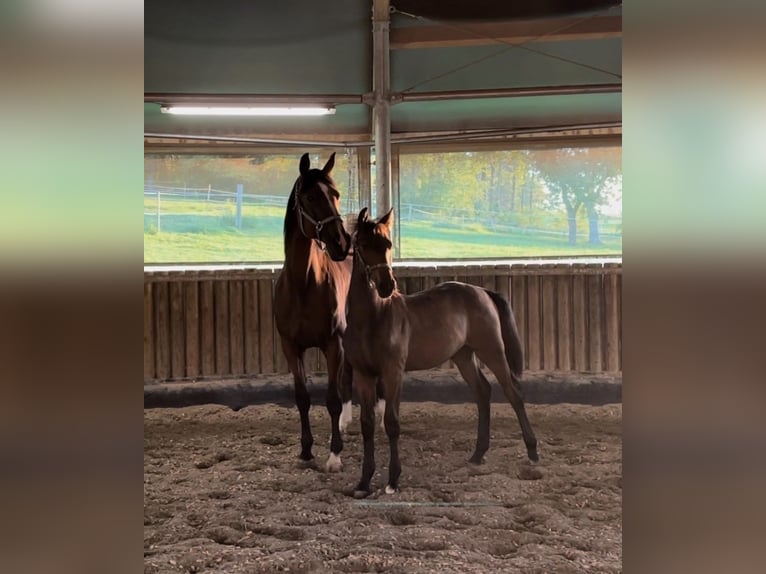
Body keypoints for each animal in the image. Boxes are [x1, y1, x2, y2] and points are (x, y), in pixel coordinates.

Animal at [274, 152, 356, 473]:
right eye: (309, 197)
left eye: (335, 194)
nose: (341, 243)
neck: (304, 284)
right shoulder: (291, 347)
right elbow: (302, 397)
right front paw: (306, 450)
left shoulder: (333, 343)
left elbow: (331, 398)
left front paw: (334, 455)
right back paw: (347, 421)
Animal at [344, 207, 539, 498]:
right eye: (365, 245)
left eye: (388, 244)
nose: (387, 286)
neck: (373, 318)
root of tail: (482, 291)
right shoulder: (363, 375)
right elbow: (367, 425)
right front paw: (363, 482)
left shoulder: (393, 372)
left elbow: (391, 422)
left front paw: (393, 480)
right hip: (464, 355)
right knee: (482, 391)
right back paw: (477, 454)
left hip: (491, 349)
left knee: (512, 392)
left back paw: (532, 452)